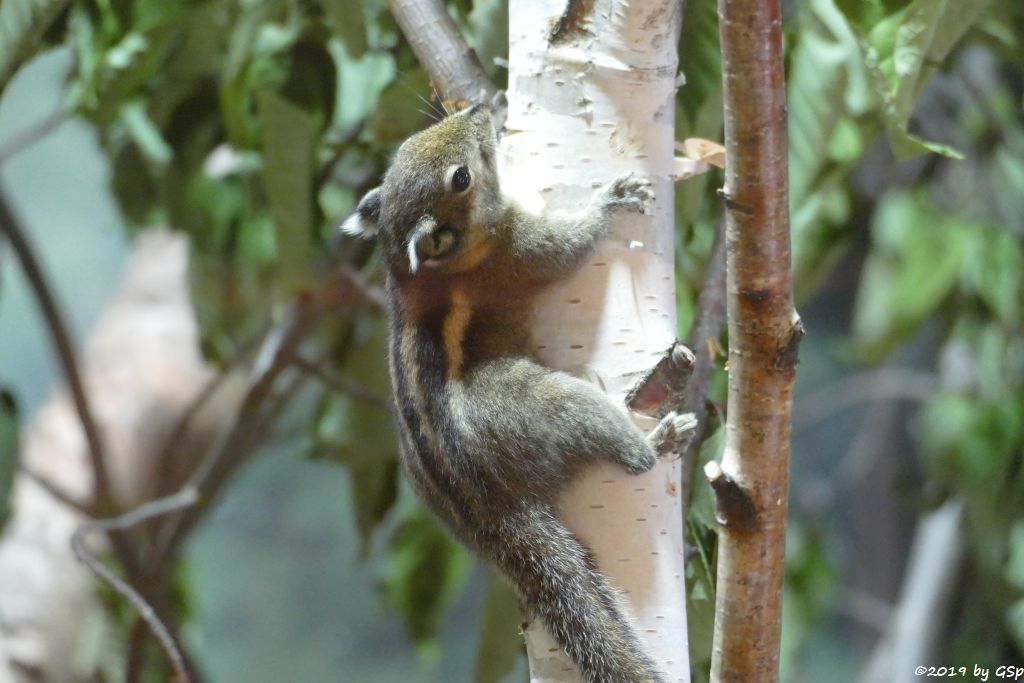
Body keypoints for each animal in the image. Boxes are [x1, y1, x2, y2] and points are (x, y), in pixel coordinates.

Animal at [339, 98, 692, 679]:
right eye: (460, 177)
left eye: (408, 145)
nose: (477, 109)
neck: (420, 269)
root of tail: (478, 500)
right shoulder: (519, 250)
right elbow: (568, 248)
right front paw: (609, 202)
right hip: (538, 405)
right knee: (624, 451)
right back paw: (657, 442)